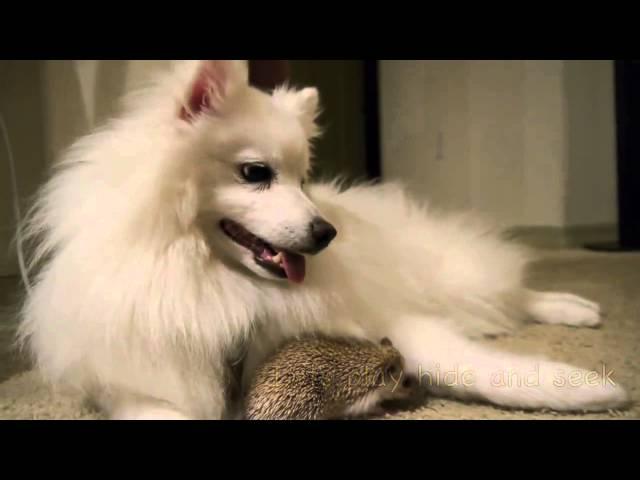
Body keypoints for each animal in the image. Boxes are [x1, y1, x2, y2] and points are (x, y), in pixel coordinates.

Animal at [16, 61, 632, 420]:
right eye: (255, 172)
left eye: (303, 177)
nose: (328, 233)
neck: (220, 284)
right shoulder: (142, 385)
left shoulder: (382, 317)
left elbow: (464, 363)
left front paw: (583, 388)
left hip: (444, 271)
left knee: (505, 289)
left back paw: (574, 307)